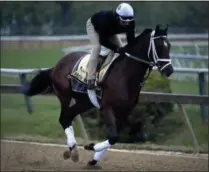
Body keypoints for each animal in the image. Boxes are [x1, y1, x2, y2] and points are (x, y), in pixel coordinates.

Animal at [22, 24, 173, 167]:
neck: (125, 75)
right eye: (159, 46)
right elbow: (113, 137)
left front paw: (93, 160)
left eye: (169, 46)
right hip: (64, 95)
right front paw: (90, 146)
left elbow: (114, 137)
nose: (169, 70)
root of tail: (57, 65)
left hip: (85, 102)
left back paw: (73, 150)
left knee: (68, 116)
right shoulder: (106, 107)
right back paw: (73, 151)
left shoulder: (124, 111)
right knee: (64, 118)